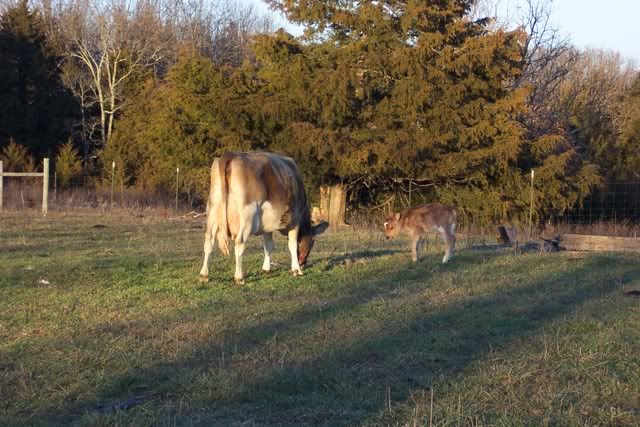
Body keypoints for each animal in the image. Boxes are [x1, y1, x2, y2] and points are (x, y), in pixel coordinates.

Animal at [199, 151, 329, 284]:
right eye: (312, 243)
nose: (303, 263)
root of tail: (232, 154)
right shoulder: (295, 219)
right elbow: (292, 244)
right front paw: (296, 270)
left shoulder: (267, 225)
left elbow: (268, 246)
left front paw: (266, 268)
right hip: (248, 215)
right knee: (239, 243)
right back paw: (239, 277)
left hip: (213, 209)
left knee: (209, 240)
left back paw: (204, 275)